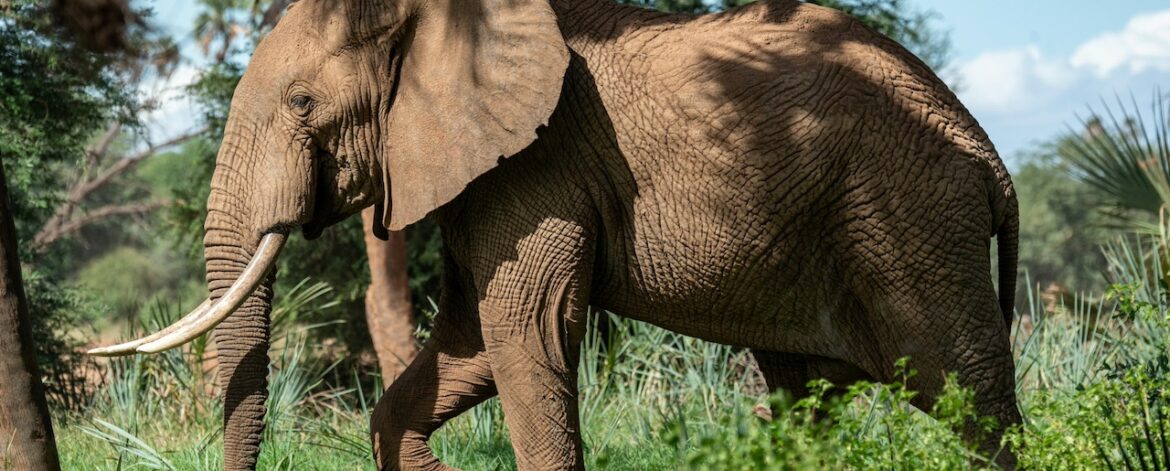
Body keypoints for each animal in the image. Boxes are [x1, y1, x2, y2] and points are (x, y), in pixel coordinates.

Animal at [86, 0, 1020, 469]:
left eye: (304, 103)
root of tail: (989, 153)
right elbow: (467, 344)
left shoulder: (540, 163)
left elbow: (527, 330)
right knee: (807, 396)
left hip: (911, 215)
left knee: (972, 398)